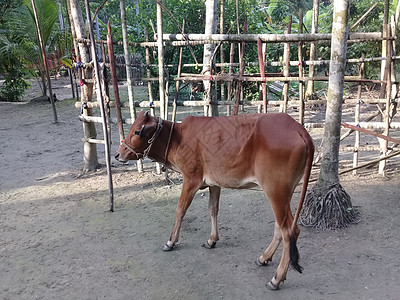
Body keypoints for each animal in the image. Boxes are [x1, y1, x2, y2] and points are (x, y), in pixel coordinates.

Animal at [114, 110, 314, 290]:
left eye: (137, 131)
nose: (117, 154)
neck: (178, 137)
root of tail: (298, 128)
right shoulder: (214, 183)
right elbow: (213, 209)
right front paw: (211, 240)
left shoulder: (191, 179)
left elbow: (180, 210)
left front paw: (170, 242)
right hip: (283, 193)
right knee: (280, 227)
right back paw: (264, 258)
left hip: (275, 190)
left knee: (289, 231)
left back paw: (277, 278)